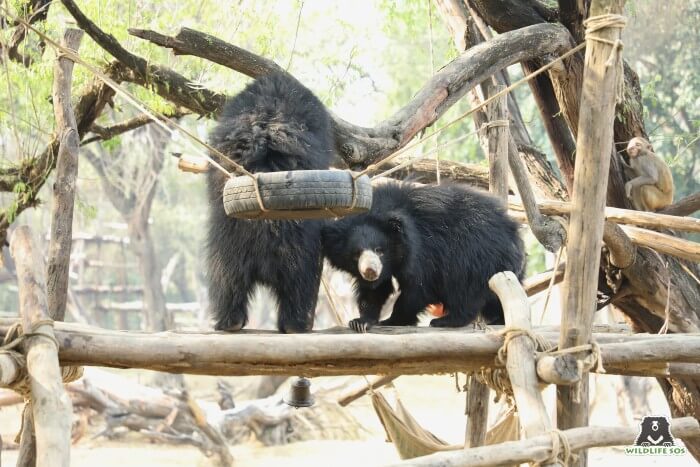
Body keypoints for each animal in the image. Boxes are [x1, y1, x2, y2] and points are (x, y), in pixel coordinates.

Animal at [205, 74, 334, 332]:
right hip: (299, 245)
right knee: (302, 283)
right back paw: (296, 324)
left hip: (228, 242)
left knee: (226, 280)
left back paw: (231, 322)